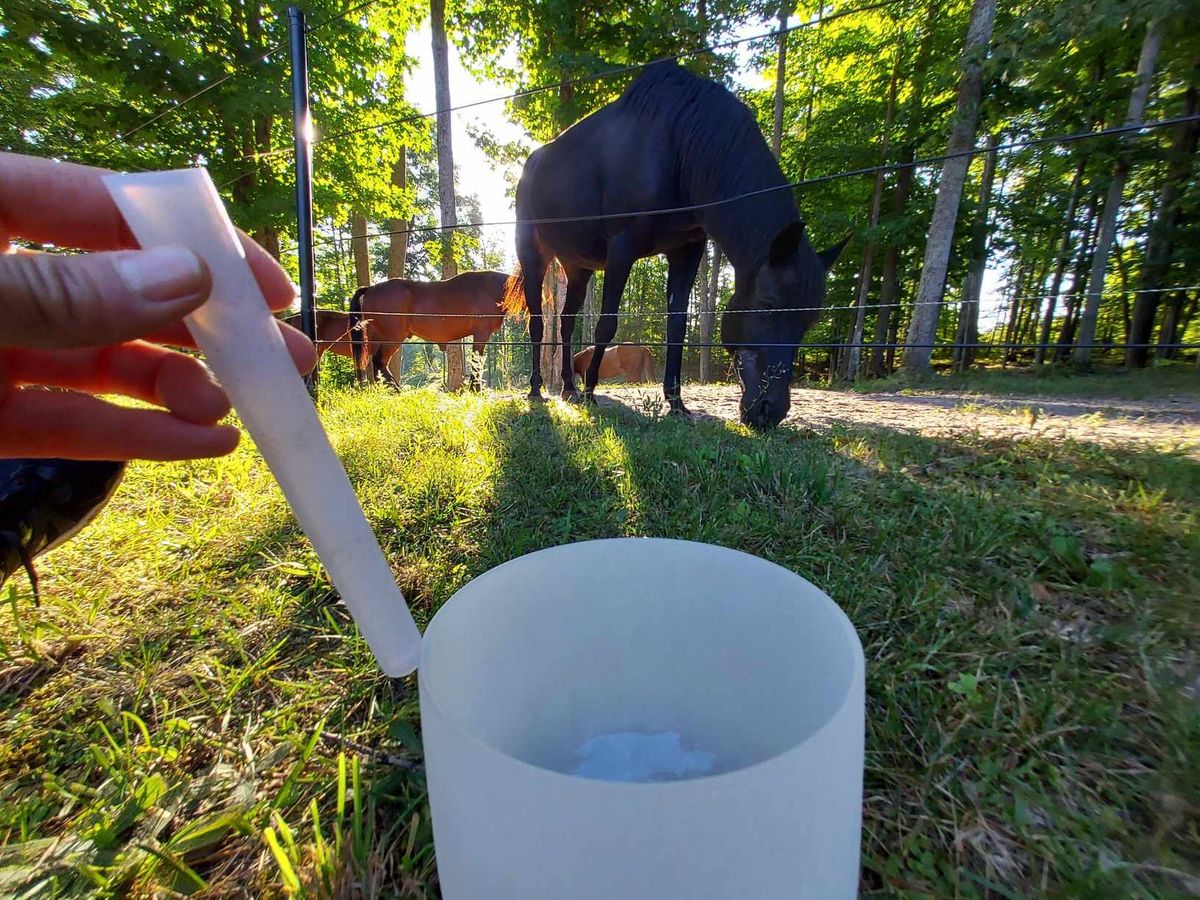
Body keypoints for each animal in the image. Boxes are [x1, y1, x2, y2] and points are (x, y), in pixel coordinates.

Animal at [348, 267, 525, 388]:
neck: (490, 288)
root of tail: (370, 288)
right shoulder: (481, 333)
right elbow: (476, 362)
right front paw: (476, 389)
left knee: (375, 364)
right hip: (392, 338)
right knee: (380, 362)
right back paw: (397, 390)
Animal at [513, 60, 844, 429]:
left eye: (810, 321)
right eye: (768, 305)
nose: (770, 411)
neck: (679, 146)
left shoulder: (687, 250)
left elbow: (678, 325)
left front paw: (675, 402)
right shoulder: (622, 250)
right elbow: (606, 323)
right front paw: (591, 391)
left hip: (578, 267)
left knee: (566, 322)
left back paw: (568, 388)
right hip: (534, 256)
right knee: (538, 322)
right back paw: (537, 389)